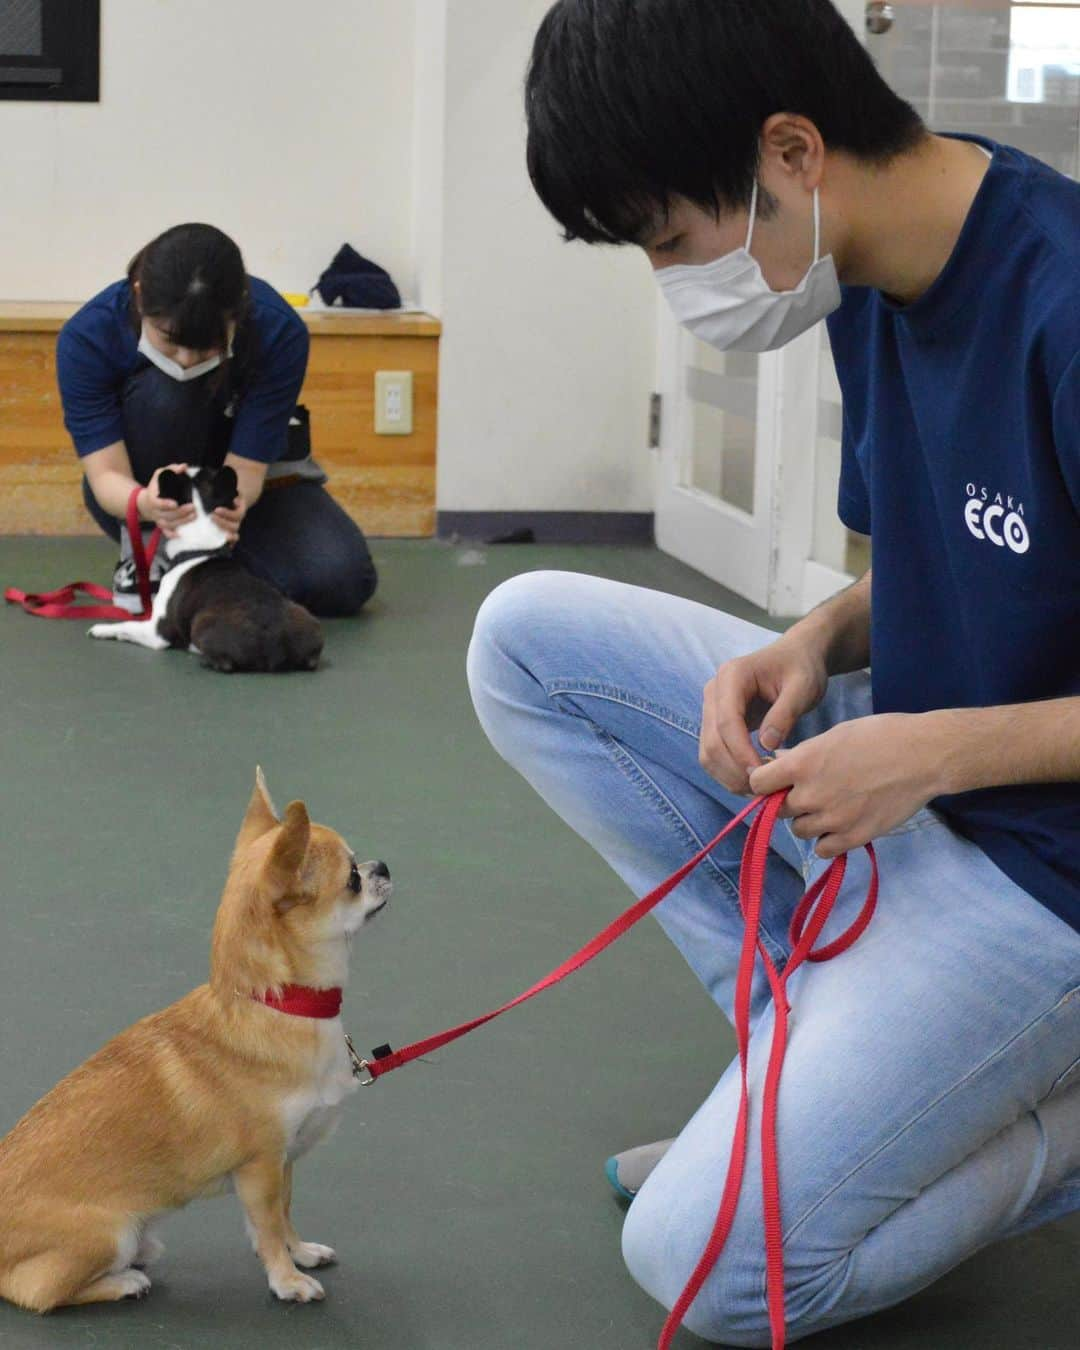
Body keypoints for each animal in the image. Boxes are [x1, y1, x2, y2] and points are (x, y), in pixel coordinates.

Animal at [89, 469, 322, 675]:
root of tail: (275, 643)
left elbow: (126, 625)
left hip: (201, 622)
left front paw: (101, 629)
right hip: (306, 619)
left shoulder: (157, 632)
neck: (200, 547)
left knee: (224, 663)